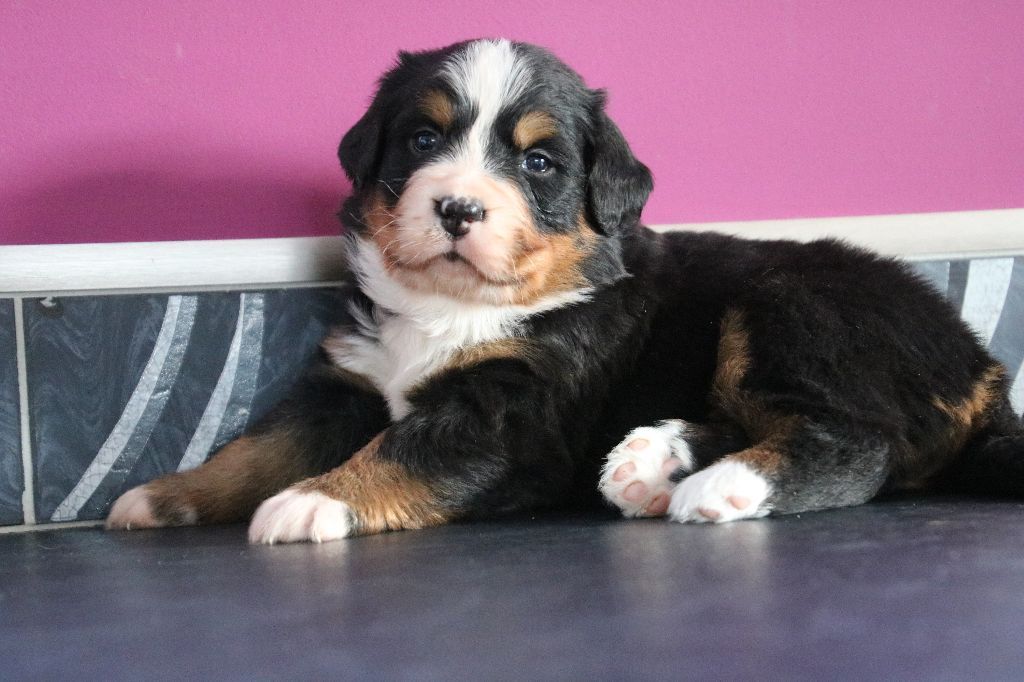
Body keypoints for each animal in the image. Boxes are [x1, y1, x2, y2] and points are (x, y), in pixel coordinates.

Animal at [108, 41, 1019, 540]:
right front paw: (163, 497)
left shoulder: (513, 410)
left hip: (791, 306)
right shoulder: (345, 381)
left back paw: (722, 485)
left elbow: (403, 449)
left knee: (856, 440)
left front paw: (311, 503)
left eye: (539, 162)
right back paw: (654, 462)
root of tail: (981, 365)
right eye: (425, 139)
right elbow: (256, 447)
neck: (453, 311)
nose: (458, 207)